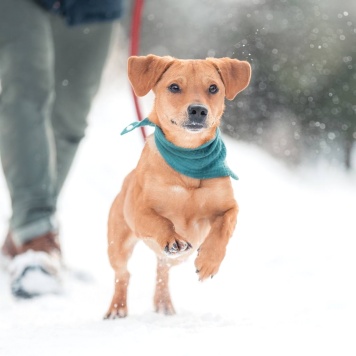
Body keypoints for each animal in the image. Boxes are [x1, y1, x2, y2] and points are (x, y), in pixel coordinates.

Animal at [104, 54, 252, 318]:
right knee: (123, 274)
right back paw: (117, 308)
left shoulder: (229, 207)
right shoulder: (139, 210)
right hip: (118, 244)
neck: (188, 159)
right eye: (174, 87)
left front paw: (208, 262)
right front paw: (172, 237)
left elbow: (223, 228)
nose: (198, 110)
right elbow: (160, 221)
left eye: (213, 88)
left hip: (176, 258)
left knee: (162, 269)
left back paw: (163, 302)